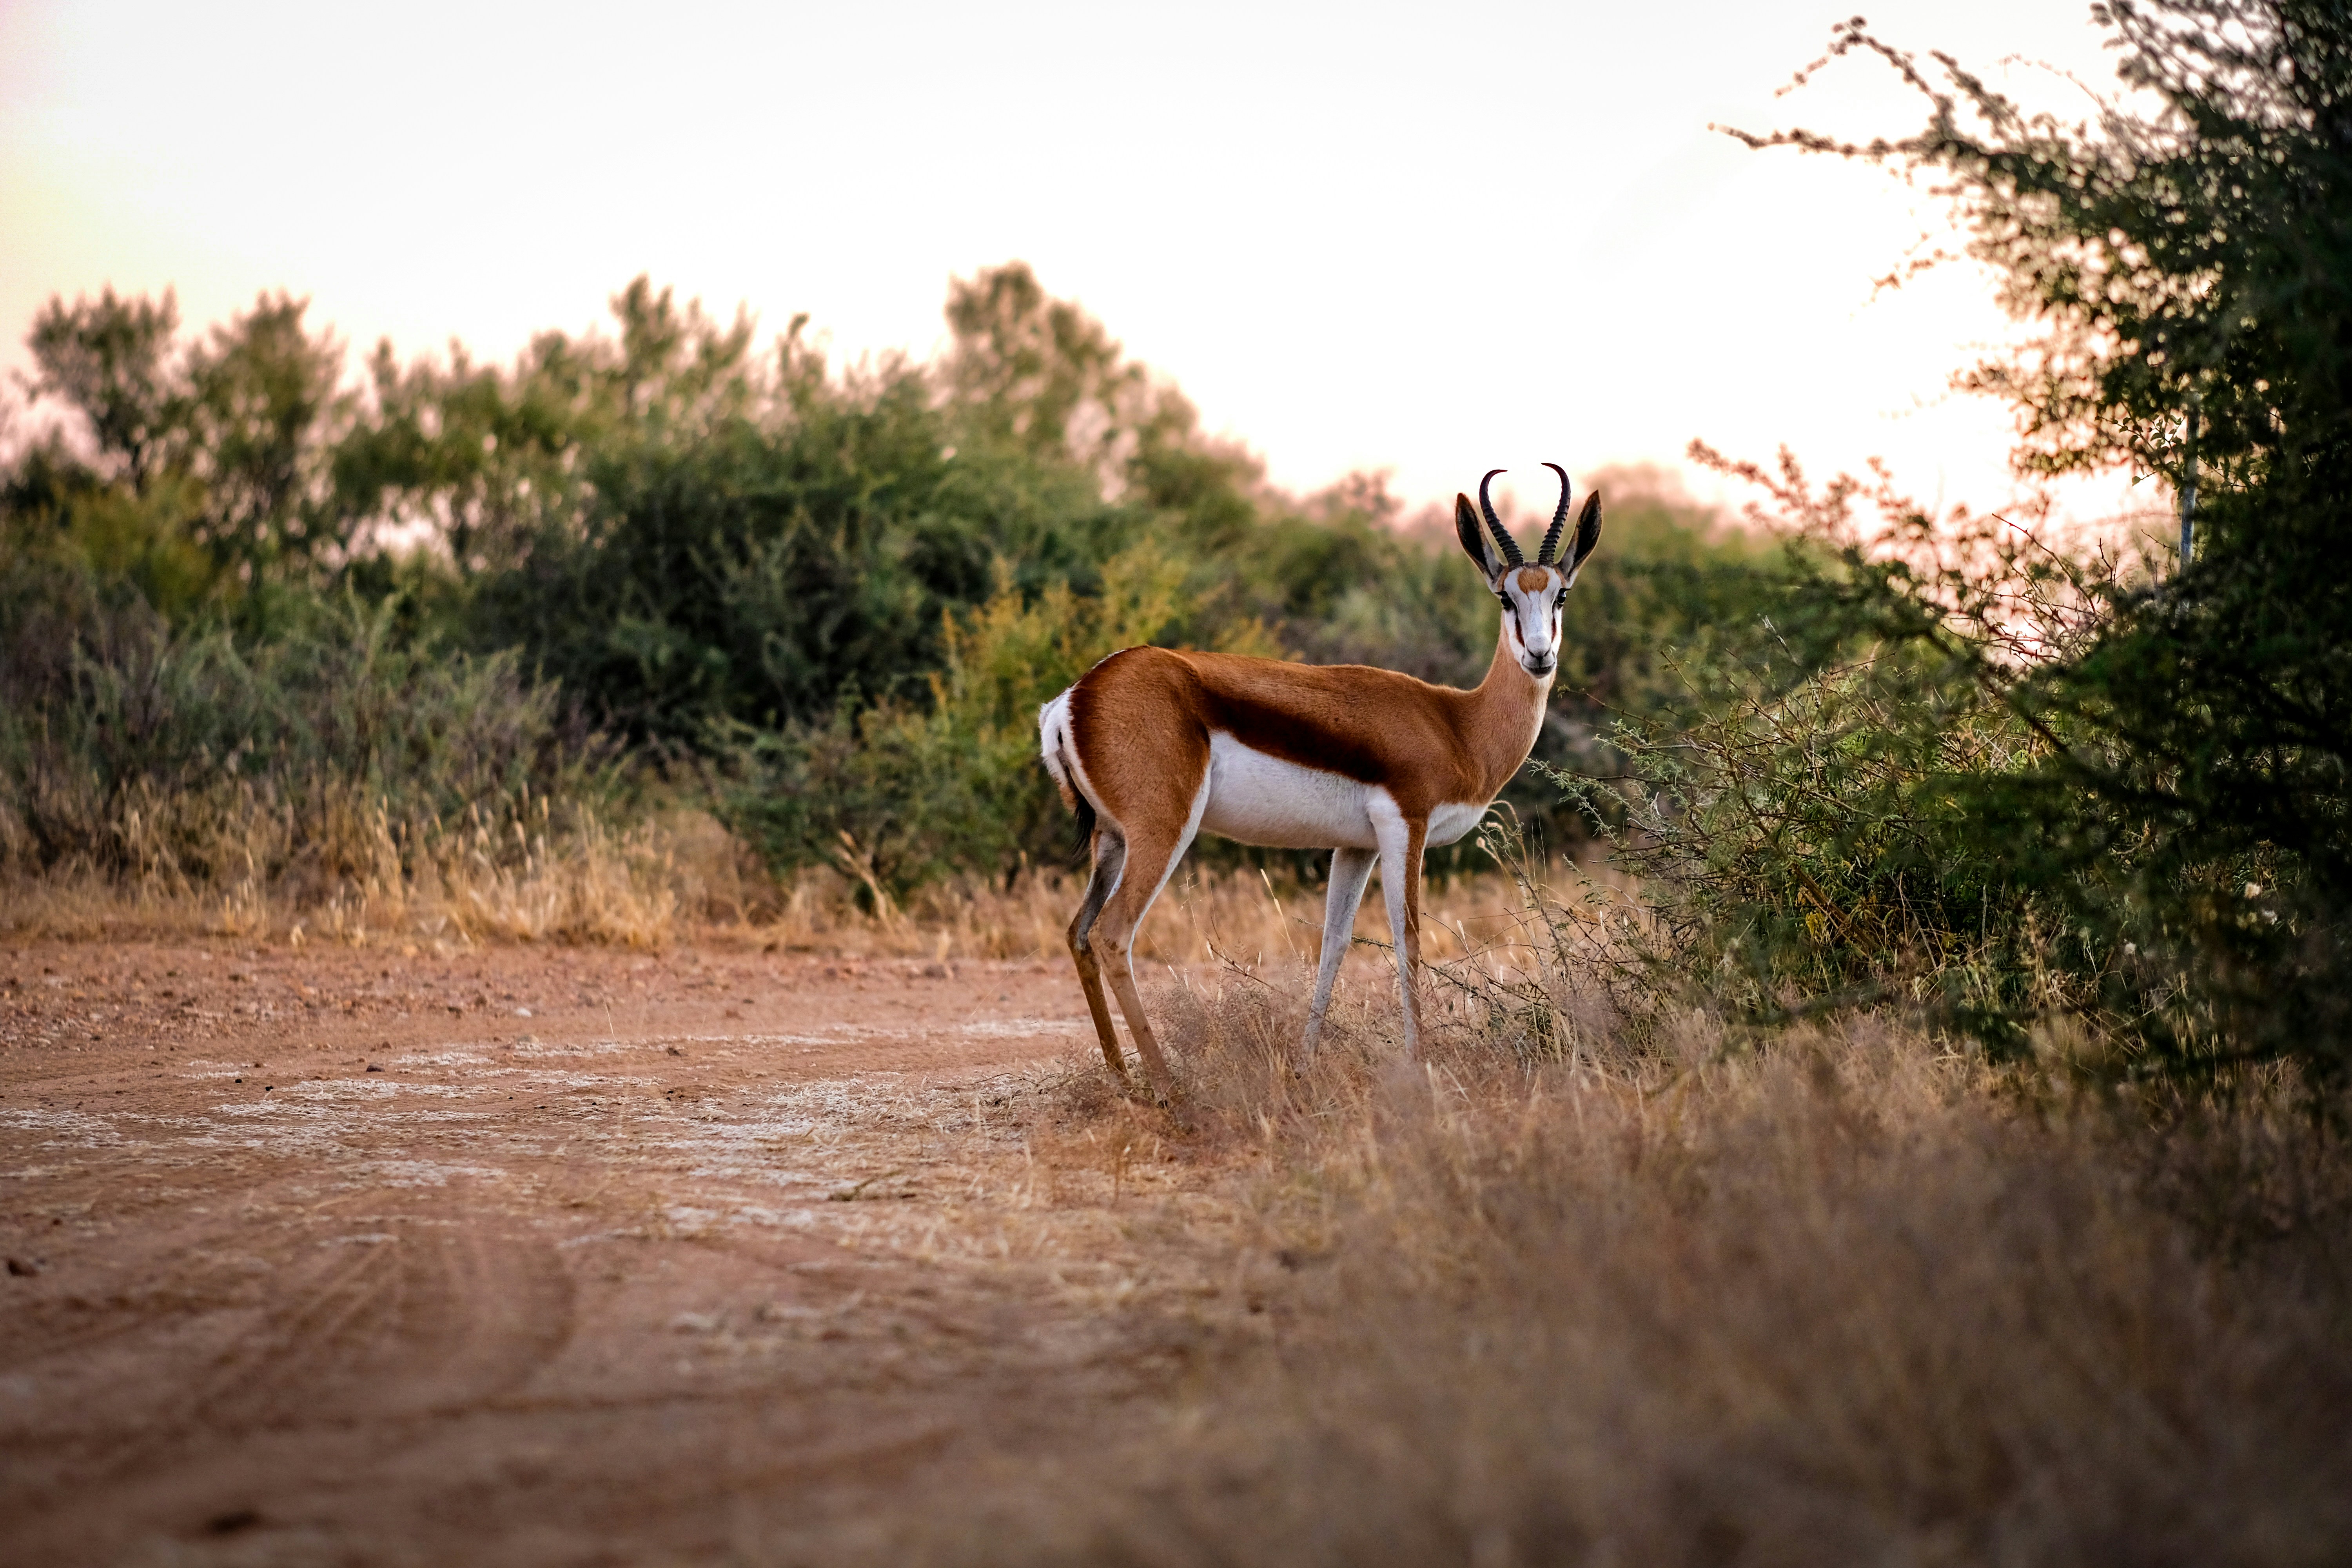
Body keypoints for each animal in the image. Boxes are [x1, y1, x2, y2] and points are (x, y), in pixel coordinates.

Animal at [1037, 465, 1603, 1094]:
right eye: (1506, 596)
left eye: (1561, 594)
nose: (1539, 656)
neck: (1457, 723)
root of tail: (1075, 698)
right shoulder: (1405, 826)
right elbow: (1408, 938)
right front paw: (1420, 1064)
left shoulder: (1355, 846)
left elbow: (1335, 942)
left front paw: (1305, 1063)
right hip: (1162, 833)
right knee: (1113, 935)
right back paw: (1168, 1088)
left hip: (1111, 839)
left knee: (1079, 933)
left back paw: (1122, 1079)